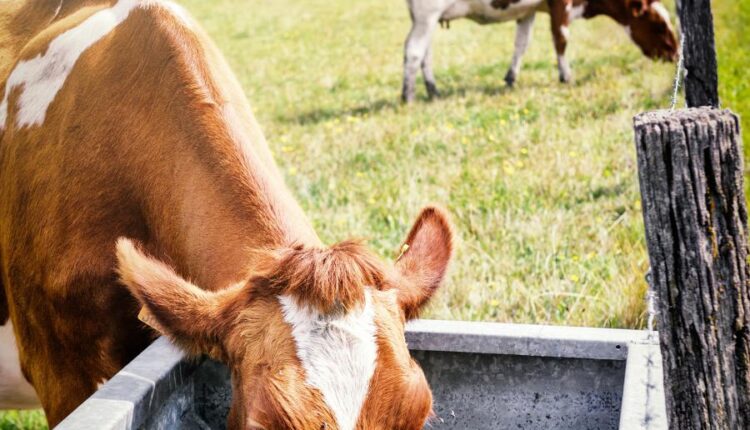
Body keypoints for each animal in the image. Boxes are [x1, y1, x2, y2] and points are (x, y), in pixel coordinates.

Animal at [402, 0, 678, 102]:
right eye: (660, 25)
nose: (676, 54)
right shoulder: (561, 6)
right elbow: (561, 40)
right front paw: (566, 76)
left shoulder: (529, 10)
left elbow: (522, 44)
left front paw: (511, 78)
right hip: (427, 14)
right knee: (413, 51)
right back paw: (408, 96)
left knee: (425, 54)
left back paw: (433, 90)